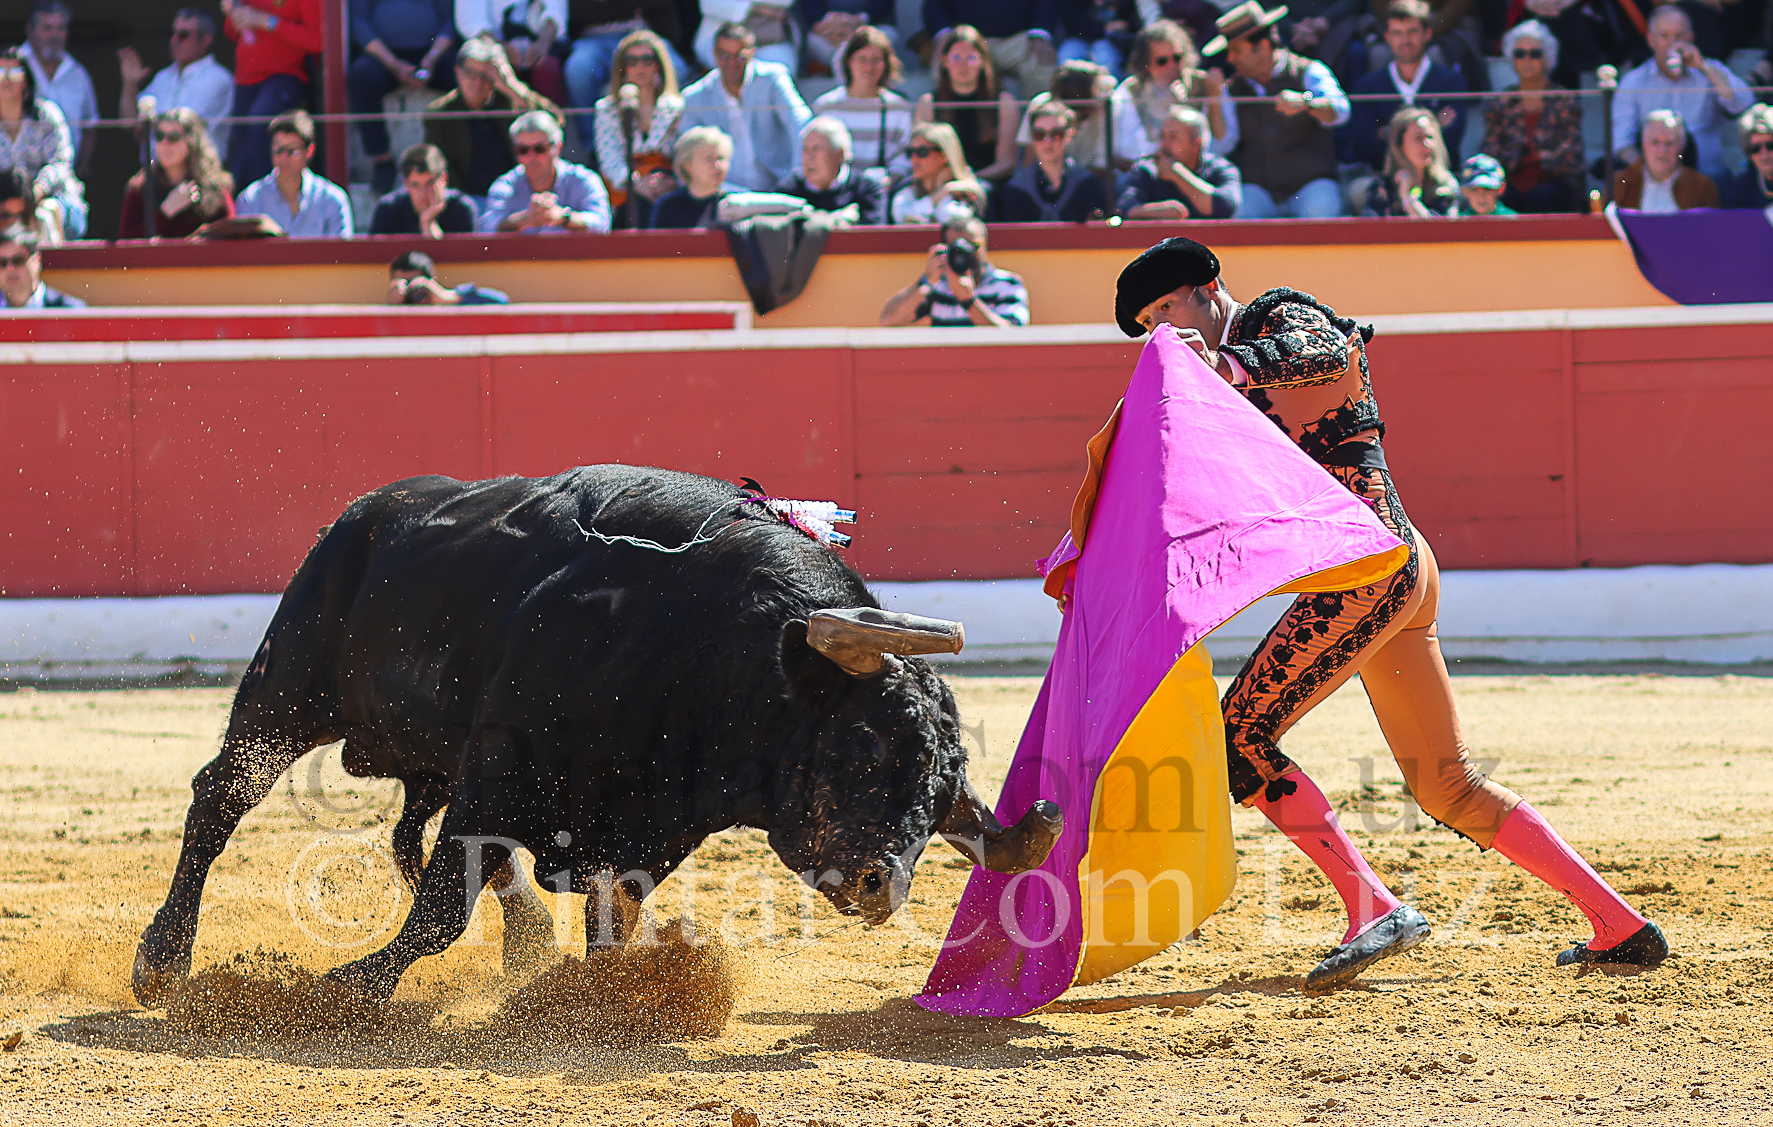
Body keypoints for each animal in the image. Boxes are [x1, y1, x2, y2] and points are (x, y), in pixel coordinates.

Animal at [133, 465, 1063, 1006]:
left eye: (940, 801)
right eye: (867, 743)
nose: (882, 887)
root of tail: (363, 510)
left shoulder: (641, 828)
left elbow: (604, 915)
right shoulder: (500, 767)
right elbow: (438, 908)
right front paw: (348, 986)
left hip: (414, 751)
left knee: (417, 834)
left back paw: (524, 942)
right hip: (286, 688)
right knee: (222, 797)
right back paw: (161, 961)